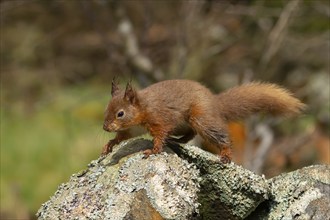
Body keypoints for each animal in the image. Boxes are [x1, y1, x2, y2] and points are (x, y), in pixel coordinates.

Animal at [102, 78, 306, 162]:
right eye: (106, 109)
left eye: (120, 113)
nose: (105, 127)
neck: (142, 107)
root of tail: (214, 102)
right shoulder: (133, 129)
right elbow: (122, 137)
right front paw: (109, 145)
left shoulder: (159, 119)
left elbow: (159, 135)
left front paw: (153, 150)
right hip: (186, 124)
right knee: (190, 134)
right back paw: (177, 140)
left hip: (201, 118)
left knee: (218, 136)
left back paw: (225, 154)